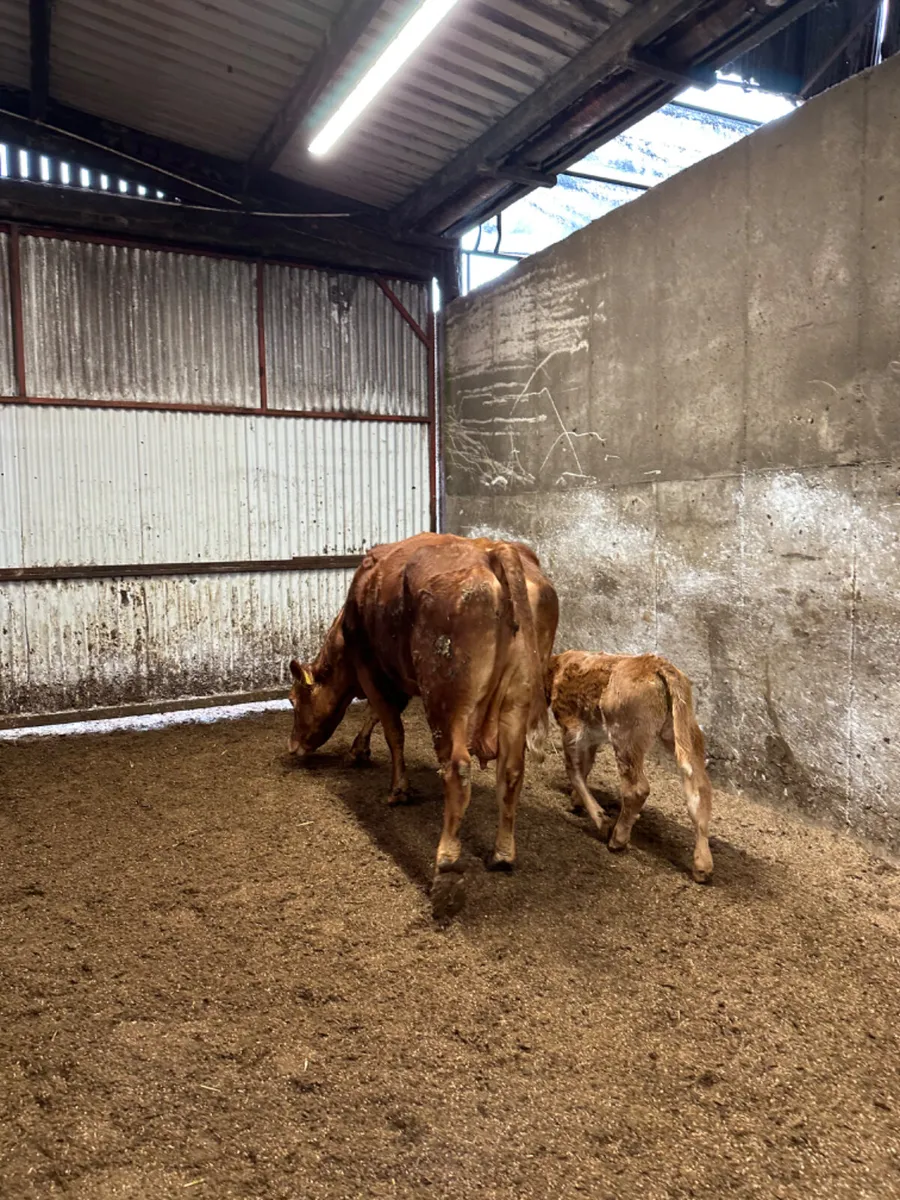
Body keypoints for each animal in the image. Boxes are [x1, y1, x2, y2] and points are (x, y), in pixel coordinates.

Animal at [288, 533, 559, 918]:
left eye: (294, 700)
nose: (293, 746)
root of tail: (493, 551)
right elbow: (379, 715)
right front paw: (358, 750)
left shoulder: (371, 669)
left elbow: (392, 727)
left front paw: (397, 789)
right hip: (516, 700)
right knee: (511, 771)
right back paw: (503, 853)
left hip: (447, 698)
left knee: (458, 771)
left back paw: (446, 865)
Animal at [547, 650, 713, 883]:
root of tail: (655, 664)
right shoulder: (591, 737)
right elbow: (585, 767)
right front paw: (576, 802)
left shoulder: (572, 729)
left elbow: (574, 770)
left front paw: (601, 820)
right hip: (685, 734)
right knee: (699, 790)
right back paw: (702, 866)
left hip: (626, 740)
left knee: (637, 789)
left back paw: (617, 838)